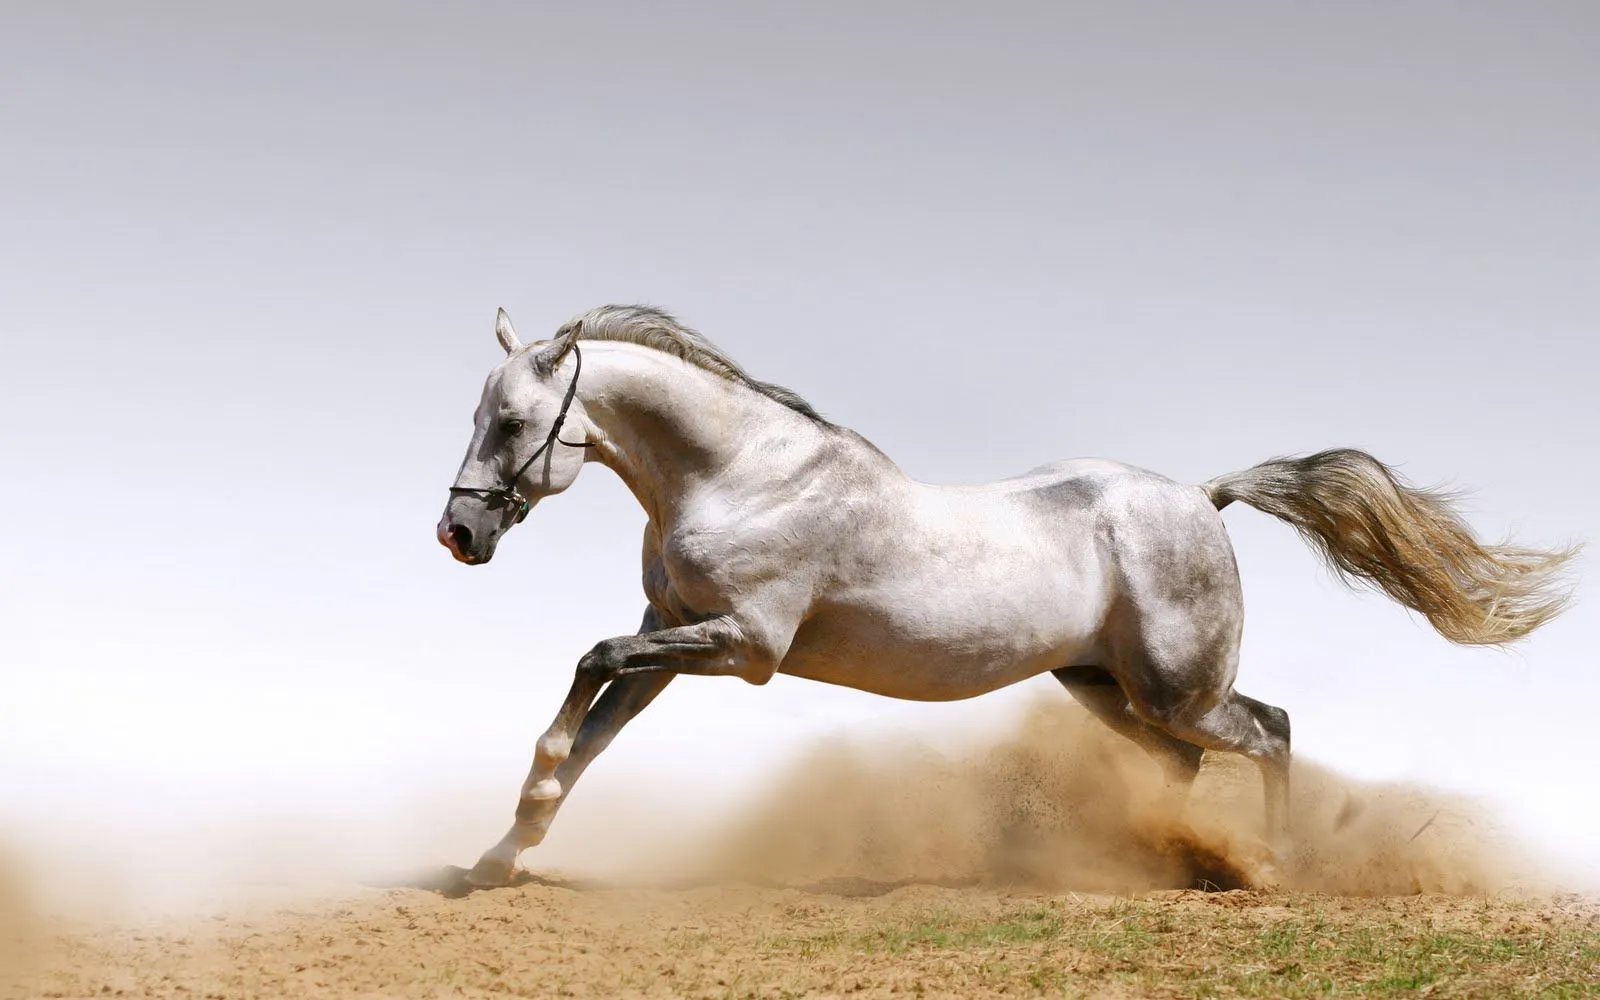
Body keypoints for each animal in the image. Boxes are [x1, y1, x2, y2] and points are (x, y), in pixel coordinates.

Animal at [438, 302, 1574, 883]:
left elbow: (587, 667)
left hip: (1179, 687)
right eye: (481, 414)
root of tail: (1203, 498)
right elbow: (592, 729)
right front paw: (500, 853)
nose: (458, 533)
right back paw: (1156, 859)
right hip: (1102, 686)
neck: (741, 474)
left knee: (1270, 730)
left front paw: (514, 824)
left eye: (512, 422)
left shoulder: (742, 646)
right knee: (1185, 763)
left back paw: (1271, 866)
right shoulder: (672, 631)